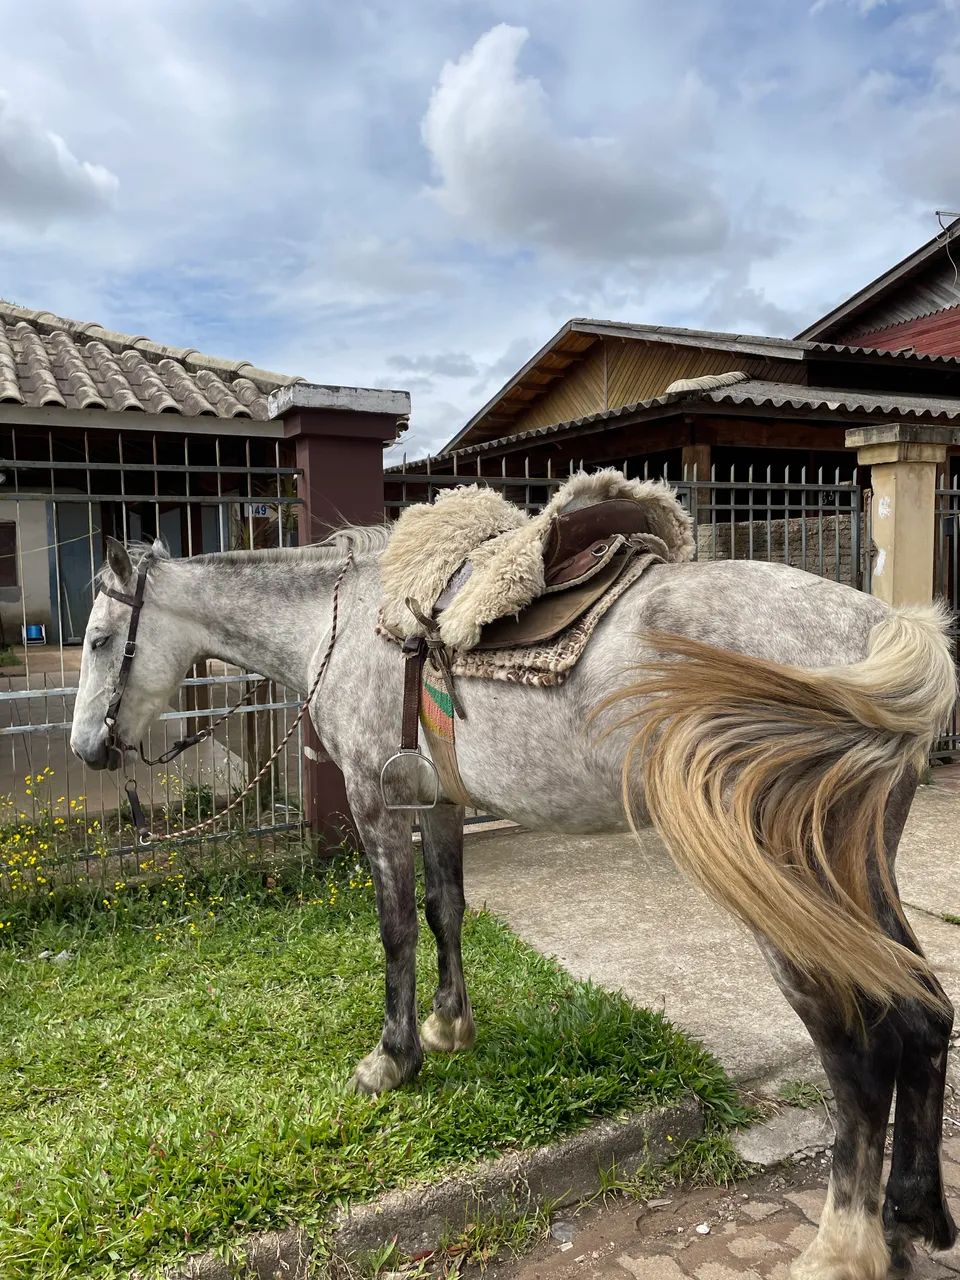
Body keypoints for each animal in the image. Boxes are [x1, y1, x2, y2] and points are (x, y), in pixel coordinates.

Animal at [69, 527, 957, 1280]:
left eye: (100, 639)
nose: (88, 749)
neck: (344, 628)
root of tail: (877, 630)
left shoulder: (375, 804)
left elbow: (396, 929)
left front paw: (392, 1059)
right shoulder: (437, 801)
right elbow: (445, 909)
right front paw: (449, 1027)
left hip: (786, 892)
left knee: (859, 1049)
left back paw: (842, 1247)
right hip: (858, 872)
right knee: (923, 1013)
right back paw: (911, 1219)